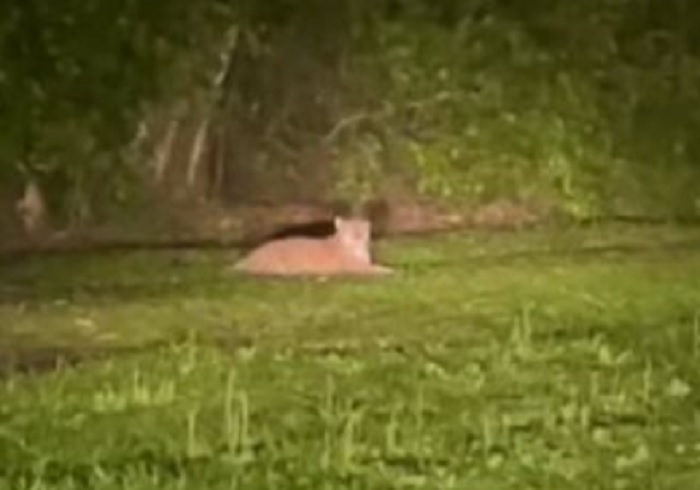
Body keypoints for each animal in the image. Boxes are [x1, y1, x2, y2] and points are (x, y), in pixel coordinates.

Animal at [232, 217, 392, 278]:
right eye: (349, 230)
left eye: (361, 230)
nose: (357, 237)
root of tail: (250, 255)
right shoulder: (358, 268)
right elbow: (377, 269)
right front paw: (391, 271)